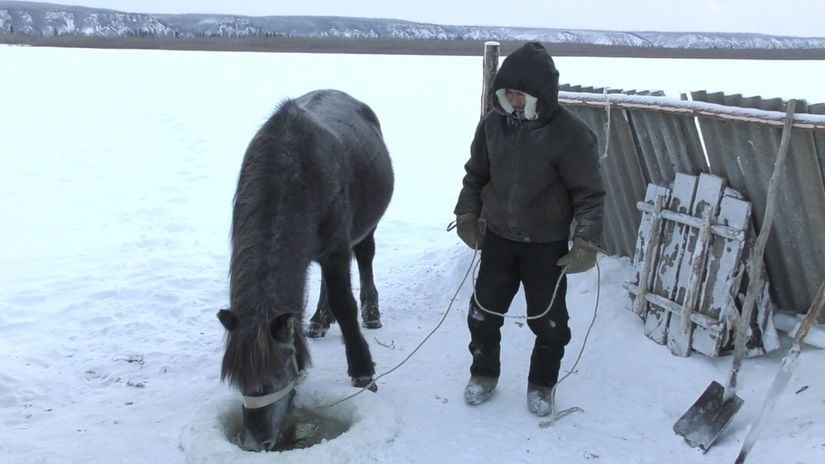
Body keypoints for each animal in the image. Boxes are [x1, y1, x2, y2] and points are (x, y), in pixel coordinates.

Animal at [214, 89, 392, 452]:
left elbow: (344, 303)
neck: (294, 174)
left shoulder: (337, 247)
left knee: (365, 259)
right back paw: (319, 321)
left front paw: (362, 370)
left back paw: (371, 312)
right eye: (238, 379)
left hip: (363, 231)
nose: (253, 442)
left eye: (277, 374)